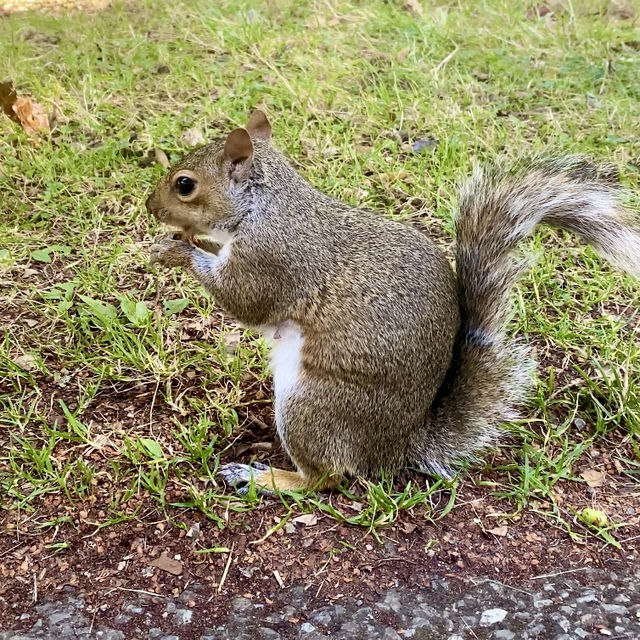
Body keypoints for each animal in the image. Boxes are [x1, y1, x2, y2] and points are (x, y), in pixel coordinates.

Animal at [148, 109, 640, 496]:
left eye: (185, 184)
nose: (151, 207)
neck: (264, 206)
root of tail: (397, 444)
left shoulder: (272, 260)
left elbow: (246, 301)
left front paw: (178, 252)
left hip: (312, 404)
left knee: (326, 478)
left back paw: (265, 478)